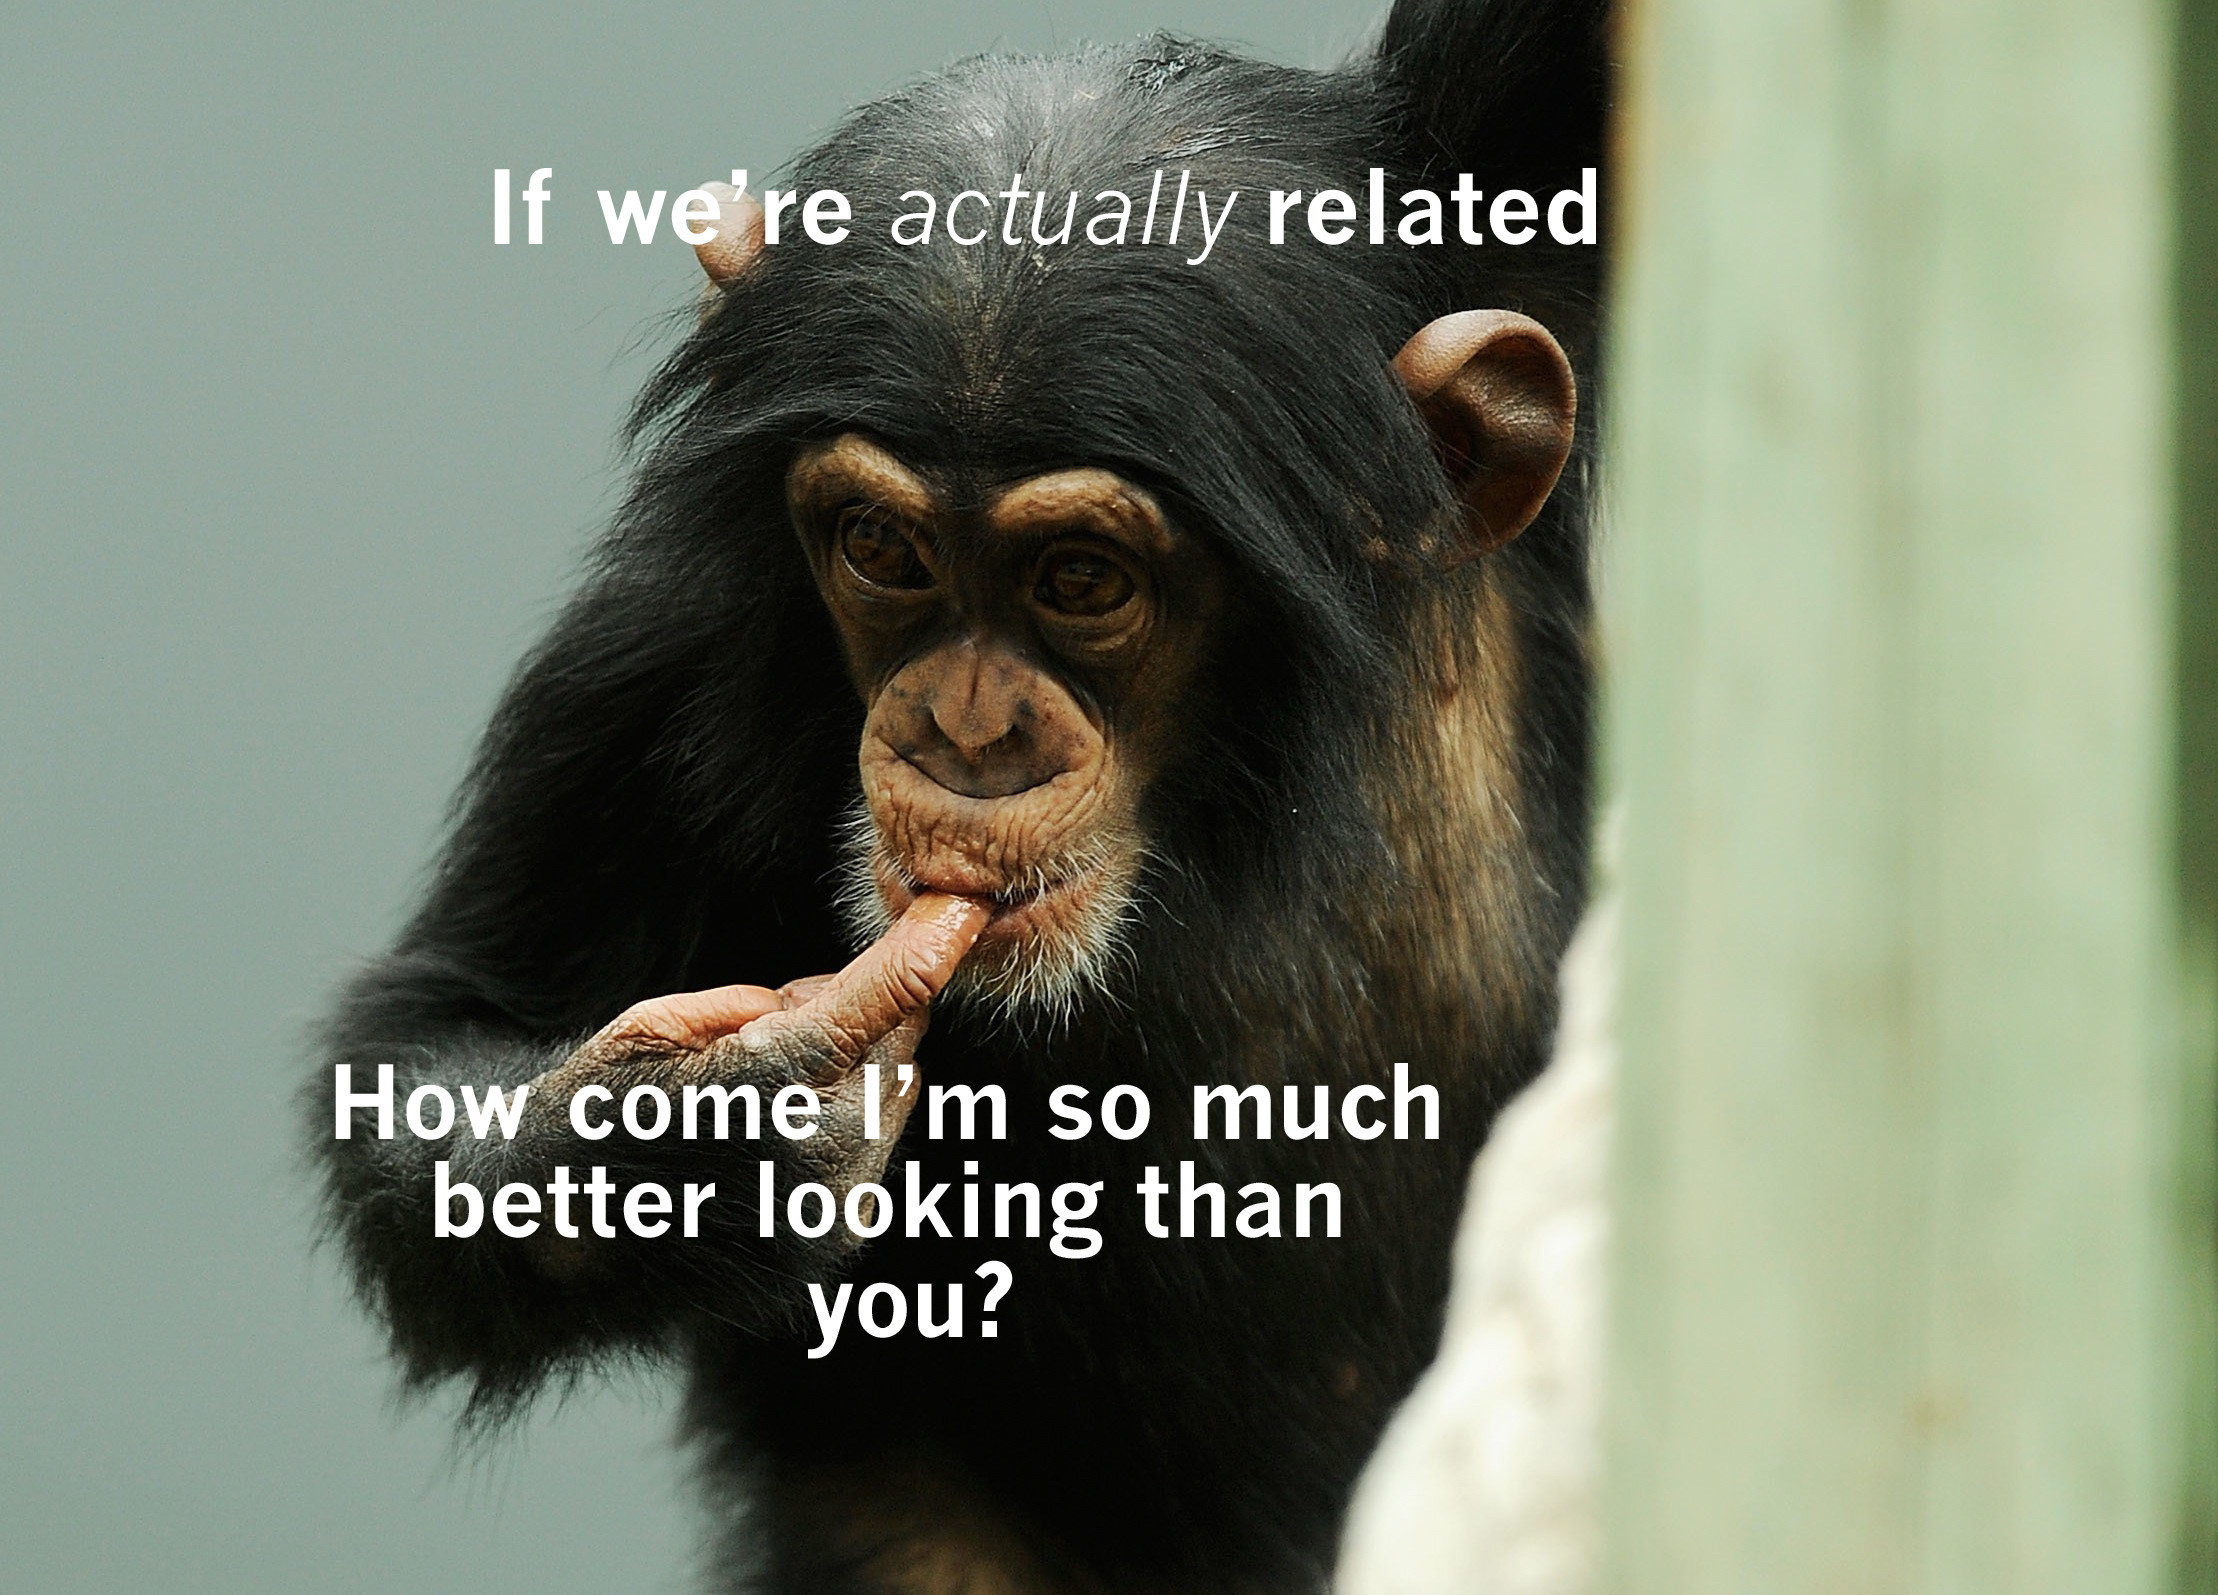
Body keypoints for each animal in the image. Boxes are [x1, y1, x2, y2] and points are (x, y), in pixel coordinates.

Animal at [314, 0, 1609, 1590]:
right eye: (882, 549)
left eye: (1081, 579)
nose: (962, 726)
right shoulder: (645, 665)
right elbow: (445, 1023)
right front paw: (715, 1136)